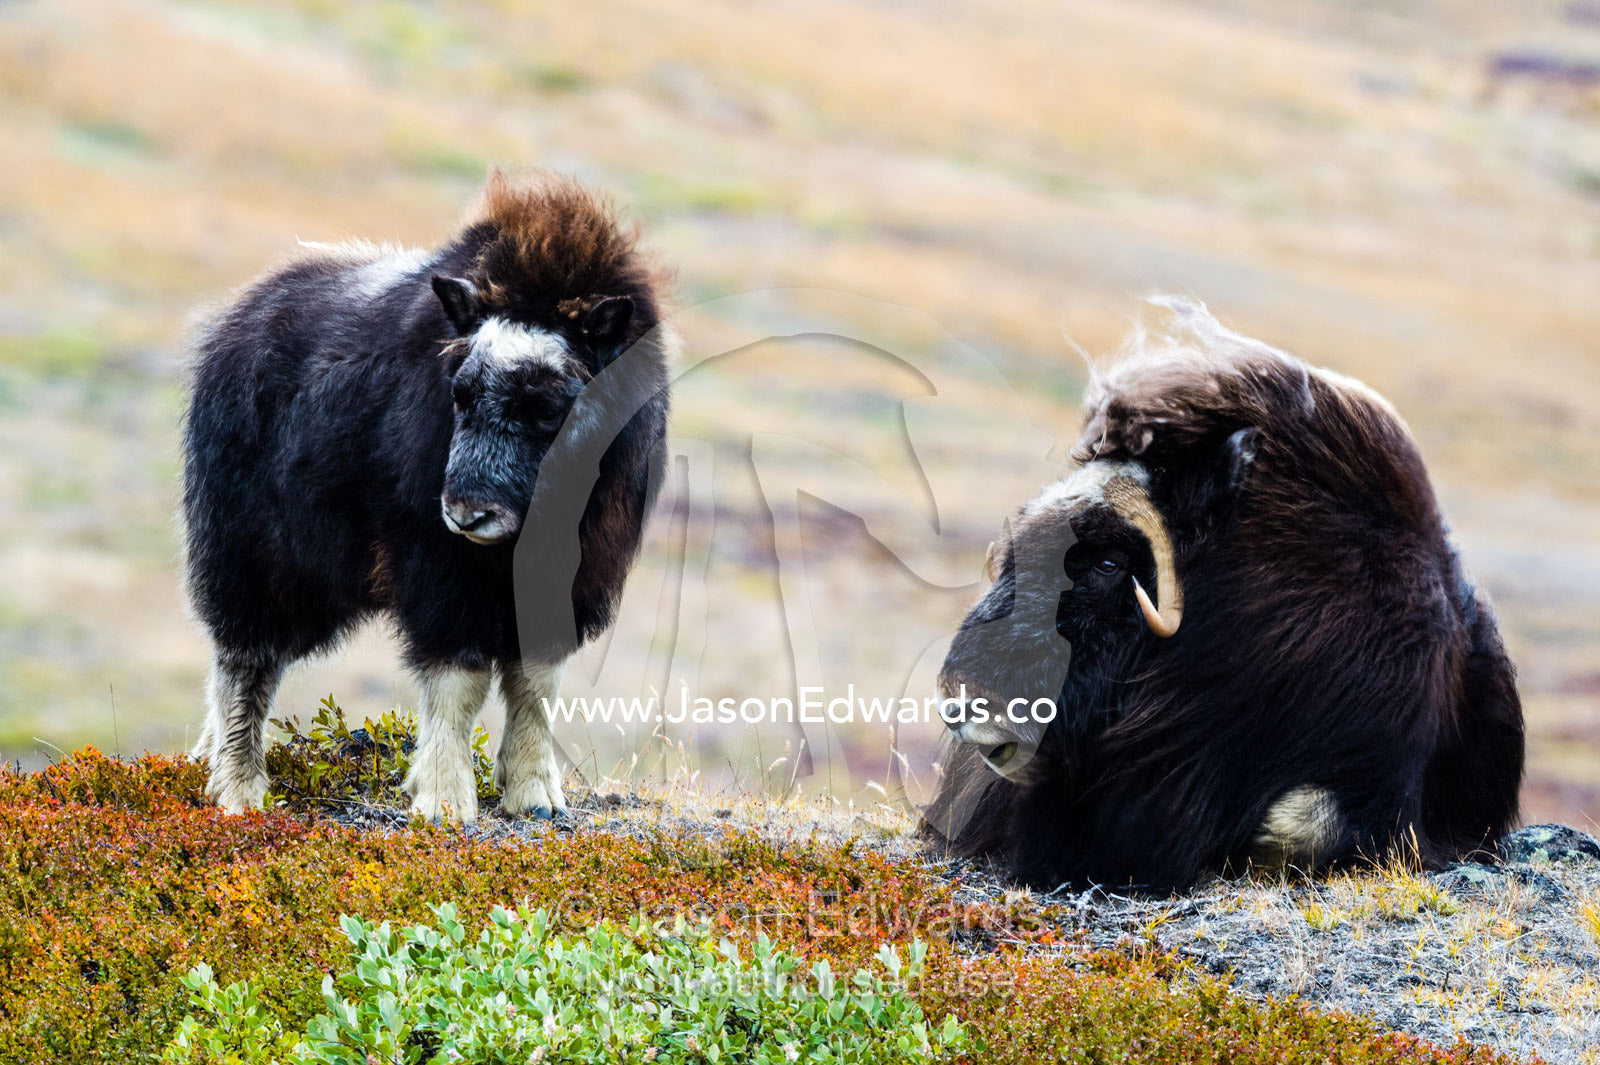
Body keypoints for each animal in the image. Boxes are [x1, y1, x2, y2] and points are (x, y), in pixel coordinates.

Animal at [181, 171, 673, 822]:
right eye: (461, 393)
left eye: (547, 408)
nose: (467, 514)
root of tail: (234, 322)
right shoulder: (442, 575)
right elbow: (458, 680)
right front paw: (443, 800)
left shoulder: (569, 577)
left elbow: (537, 682)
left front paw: (535, 797)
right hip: (258, 558)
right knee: (245, 659)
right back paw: (238, 791)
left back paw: (203, 762)